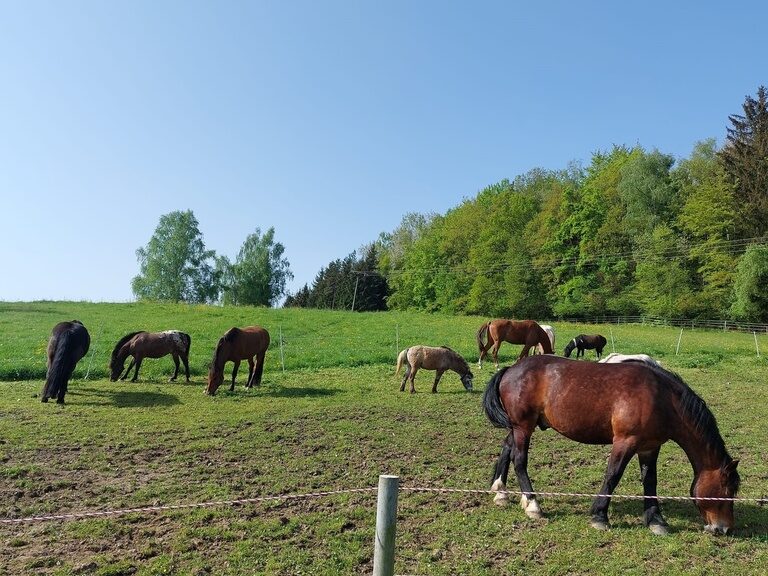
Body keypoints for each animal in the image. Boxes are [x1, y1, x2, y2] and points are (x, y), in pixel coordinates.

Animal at [483, 355, 740, 535]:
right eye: (727, 491)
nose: (724, 528)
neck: (661, 398)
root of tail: (511, 369)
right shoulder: (625, 442)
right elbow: (612, 476)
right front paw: (599, 516)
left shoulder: (650, 446)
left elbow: (650, 481)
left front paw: (656, 520)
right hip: (523, 426)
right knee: (519, 460)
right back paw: (533, 504)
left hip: (518, 427)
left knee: (507, 449)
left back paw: (501, 492)